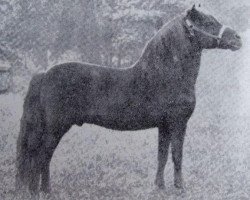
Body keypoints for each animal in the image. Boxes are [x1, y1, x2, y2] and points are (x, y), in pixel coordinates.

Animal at [15, 5, 240, 195]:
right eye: (208, 23)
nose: (238, 38)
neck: (166, 75)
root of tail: (44, 74)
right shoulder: (178, 124)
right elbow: (177, 155)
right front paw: (180, 188)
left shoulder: (165, 126)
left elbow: (162, 156)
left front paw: (160, 187)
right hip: (56, 128)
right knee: (41, 155)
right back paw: (38, 191)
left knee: (42, 157)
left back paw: (44, 190)